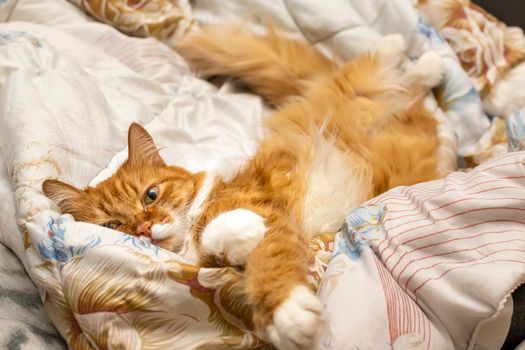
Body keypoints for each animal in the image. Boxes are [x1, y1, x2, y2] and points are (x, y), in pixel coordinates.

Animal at [43, 26, 442, 348]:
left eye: (150, 196)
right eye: (113, 225)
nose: (143, 229)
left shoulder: (269, 213)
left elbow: (269, 265)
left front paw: (288, 313)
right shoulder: (208, 266)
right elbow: (222, 247)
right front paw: (239, 235)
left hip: (349, 91)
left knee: (371, 70)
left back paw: (411, 52)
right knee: (403, 90)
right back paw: (424, 68)